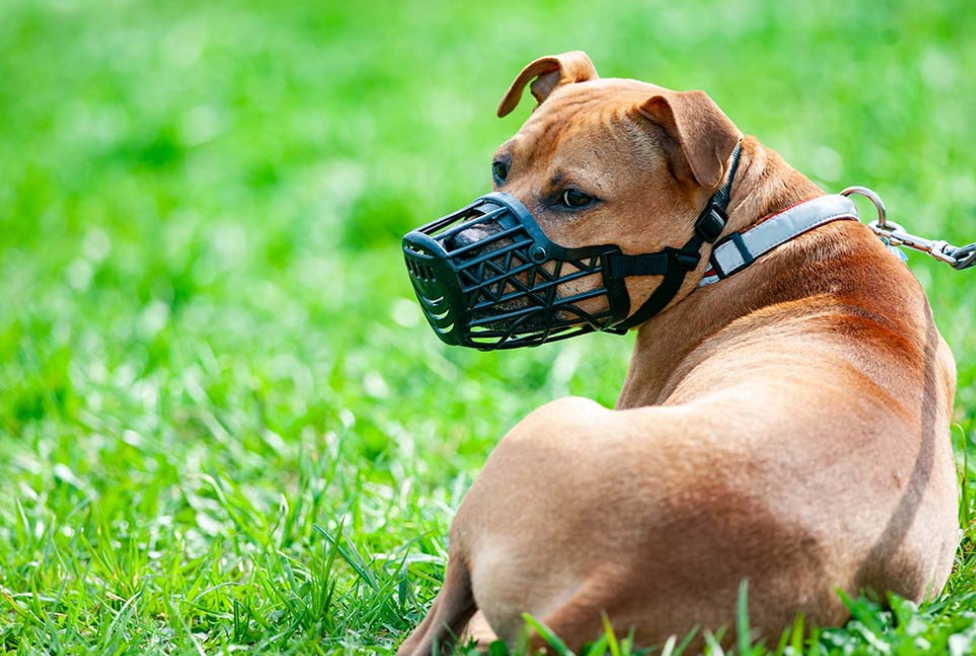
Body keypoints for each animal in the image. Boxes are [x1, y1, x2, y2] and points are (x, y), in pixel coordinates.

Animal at [392, 52, 956, 656]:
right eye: (501, 169)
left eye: (575, 198)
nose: (431, 256)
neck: (738, 237)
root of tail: (617, 577)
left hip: (539, 436)